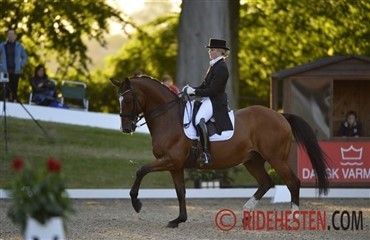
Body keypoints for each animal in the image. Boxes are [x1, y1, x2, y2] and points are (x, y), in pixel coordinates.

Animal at [110, 76, 330, 228]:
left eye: (127, 100)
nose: (126, 128)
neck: (169, 117)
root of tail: (280, 116)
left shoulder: (170, 160)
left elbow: (141, 170)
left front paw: (136, 203)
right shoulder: (176, 165)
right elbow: (180, 191)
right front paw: (179, 219)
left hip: (276, 158)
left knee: (293, 183)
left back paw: (292, 219)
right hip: (252, 160)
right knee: (266, 182)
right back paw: (246, 213)